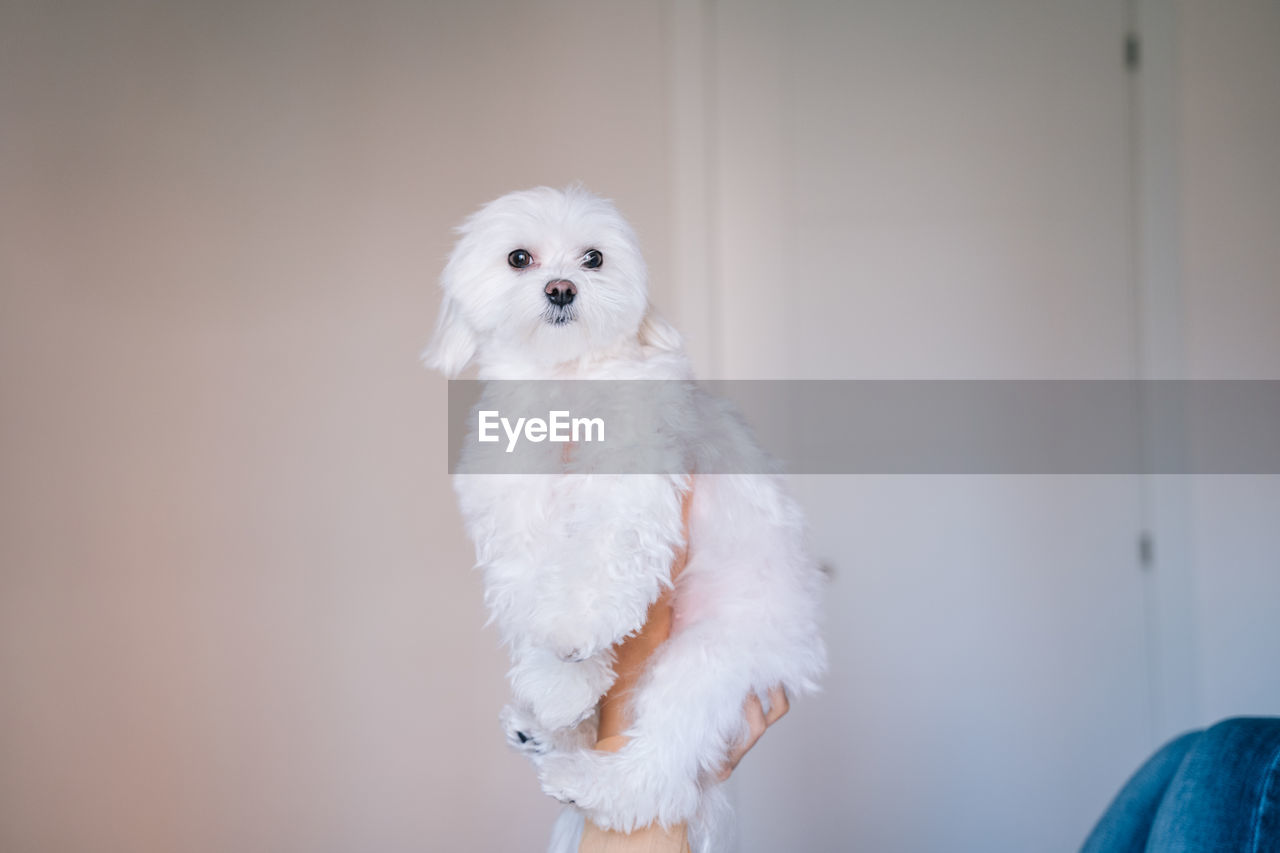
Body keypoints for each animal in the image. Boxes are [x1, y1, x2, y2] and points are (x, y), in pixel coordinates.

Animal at [424, 185, 824, 850]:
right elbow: (524, 576)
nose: (561, 289)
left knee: (662, 772)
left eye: (594, 258)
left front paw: (570, 632)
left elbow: (600, 554)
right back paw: (545, 734)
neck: (565, 384)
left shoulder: (636, 478)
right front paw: (559, 683)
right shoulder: (508, 495)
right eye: (518, 258)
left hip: (711, 657)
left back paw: (595, 781)